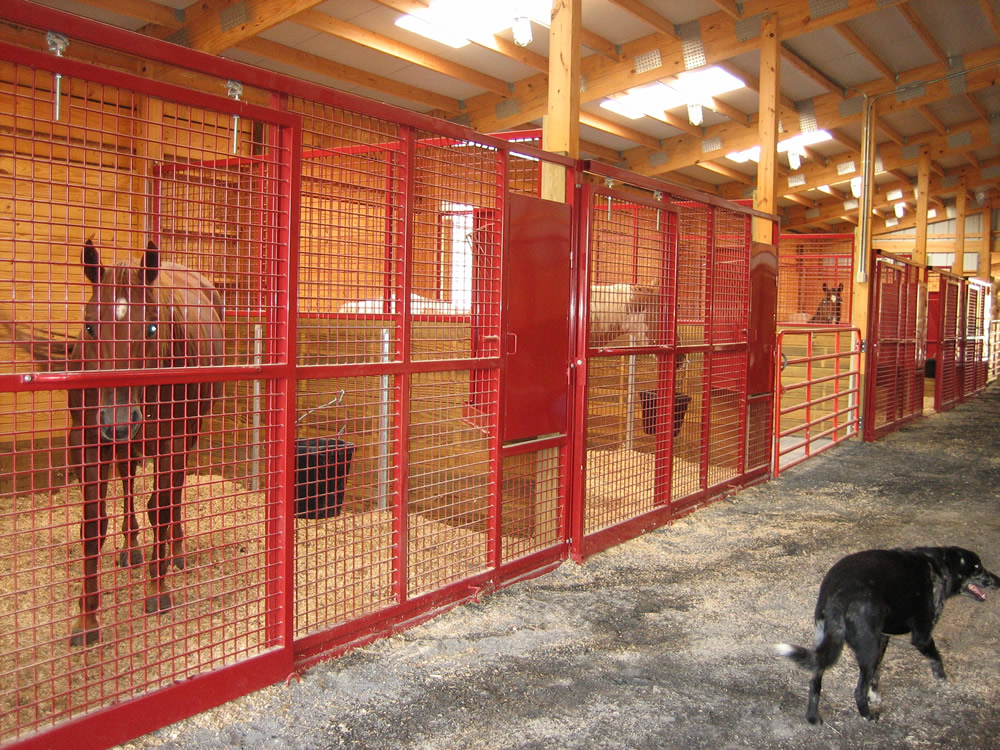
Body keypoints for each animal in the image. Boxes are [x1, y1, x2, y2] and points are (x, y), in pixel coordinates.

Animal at [4, 239, 224, 646]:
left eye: (153, 325)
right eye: (90, 326)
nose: (119, 422)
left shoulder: (171, 440)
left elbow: (160, 509)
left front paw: (157, 591)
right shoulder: (87, 442)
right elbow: (94, 525)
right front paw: (87, 618)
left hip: (188, 432)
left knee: (174, 491)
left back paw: (177, 549)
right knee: (127, 478)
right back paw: (131, 549)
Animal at [777, 547, 1000, 724]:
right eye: (977, 567)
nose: (998, 580)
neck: (939, 567)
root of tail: (837, 594)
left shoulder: (883, 637)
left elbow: (877, 673)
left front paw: (875, 695)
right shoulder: (922, 637)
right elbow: (937, 657)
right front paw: (942, 678)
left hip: (830, 643)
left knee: (815, 681)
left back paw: (813, 717)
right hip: (868, 649)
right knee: (858, 690)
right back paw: (868, 716)